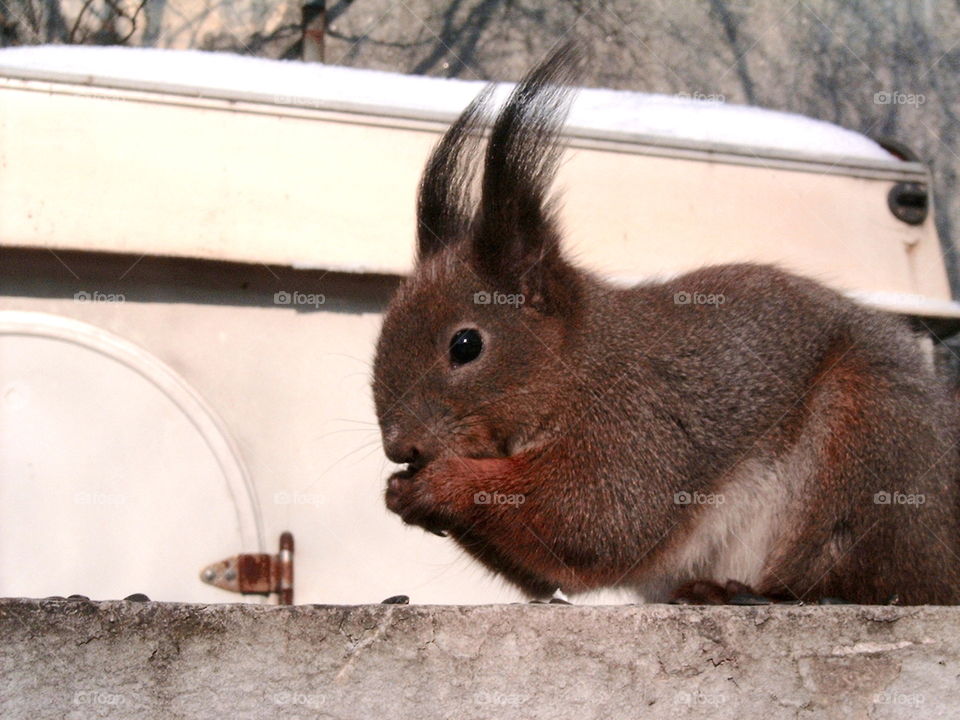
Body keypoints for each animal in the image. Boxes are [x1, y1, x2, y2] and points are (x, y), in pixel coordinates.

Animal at [372, 46, 960, 600]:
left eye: (466, 345)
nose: (401, 449)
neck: (577, 368)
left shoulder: (637, 428)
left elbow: (592, 520)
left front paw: (440, 483)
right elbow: (544, 573)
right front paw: (399, 492)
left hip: (866, 442)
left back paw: (746, 594)